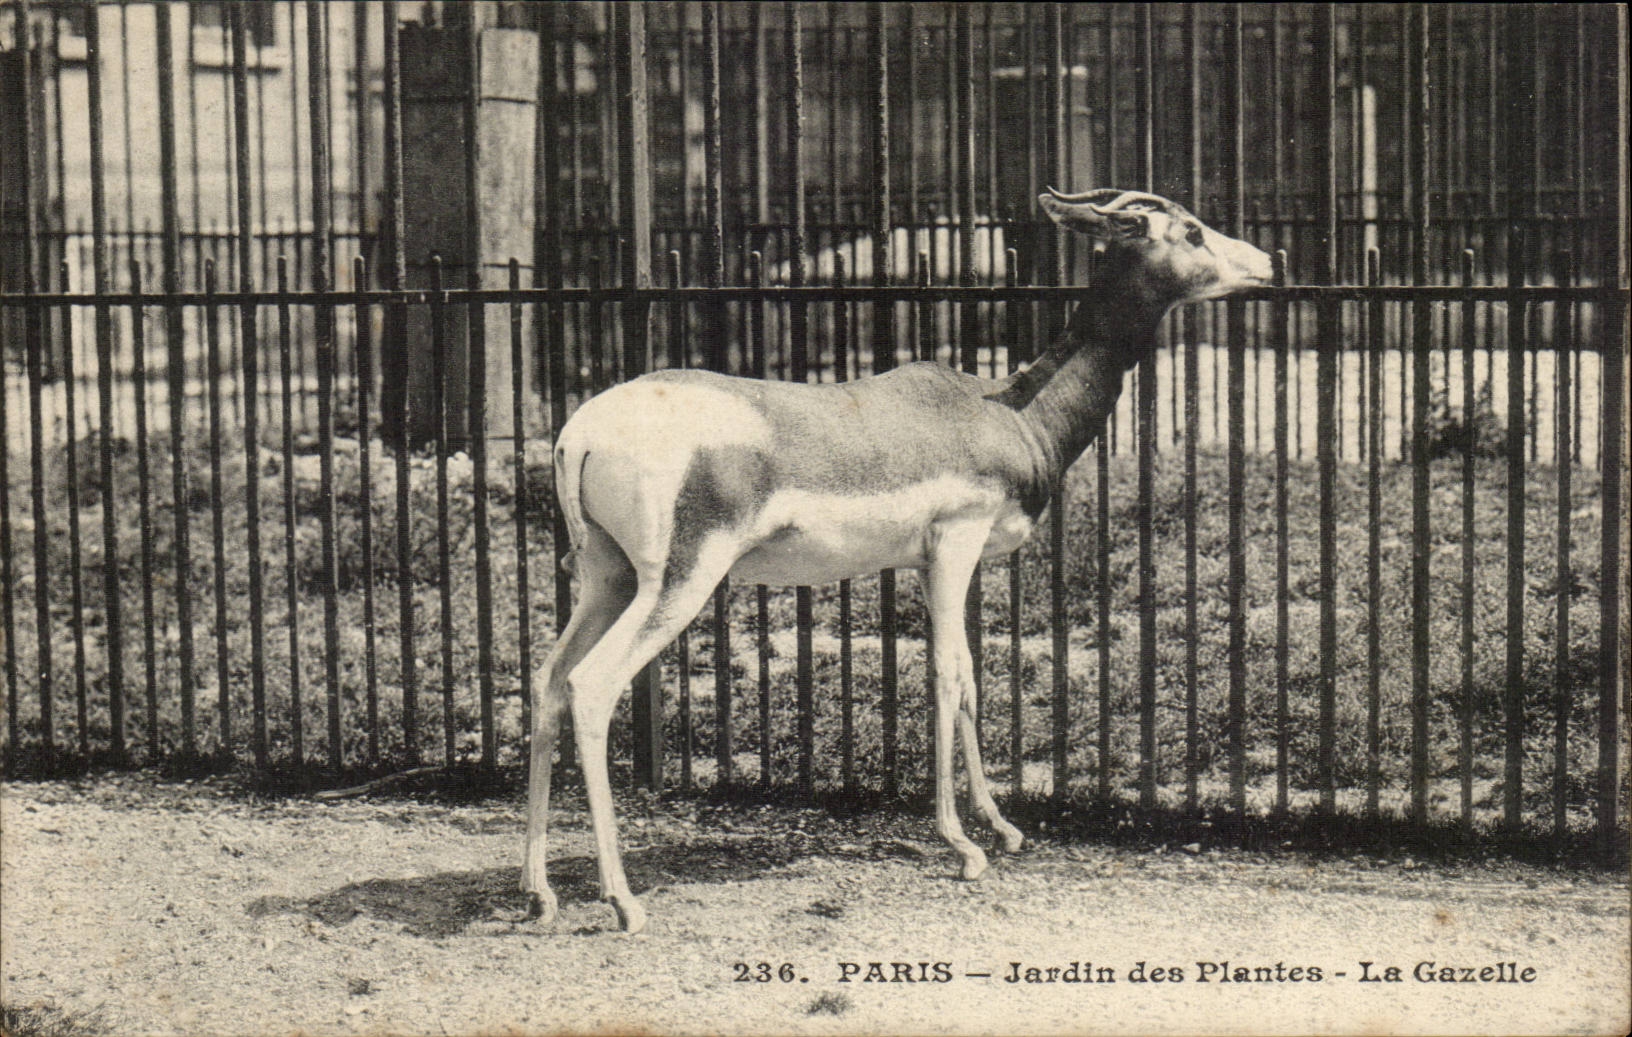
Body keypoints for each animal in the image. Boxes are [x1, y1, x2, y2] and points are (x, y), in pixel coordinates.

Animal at [523, 188, 1273, 933]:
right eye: (1192, 231)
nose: (1267, 262)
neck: (1011, 412)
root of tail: (579, 431)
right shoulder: (956, 543)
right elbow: (946, 675)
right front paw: (963, 846)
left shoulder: (928, 561)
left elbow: (968, 675)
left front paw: (1003, 828)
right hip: (677, 581)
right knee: (592, 684)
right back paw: (622, 899)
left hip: (609, 579)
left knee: (550, 679)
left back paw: (540, 891)